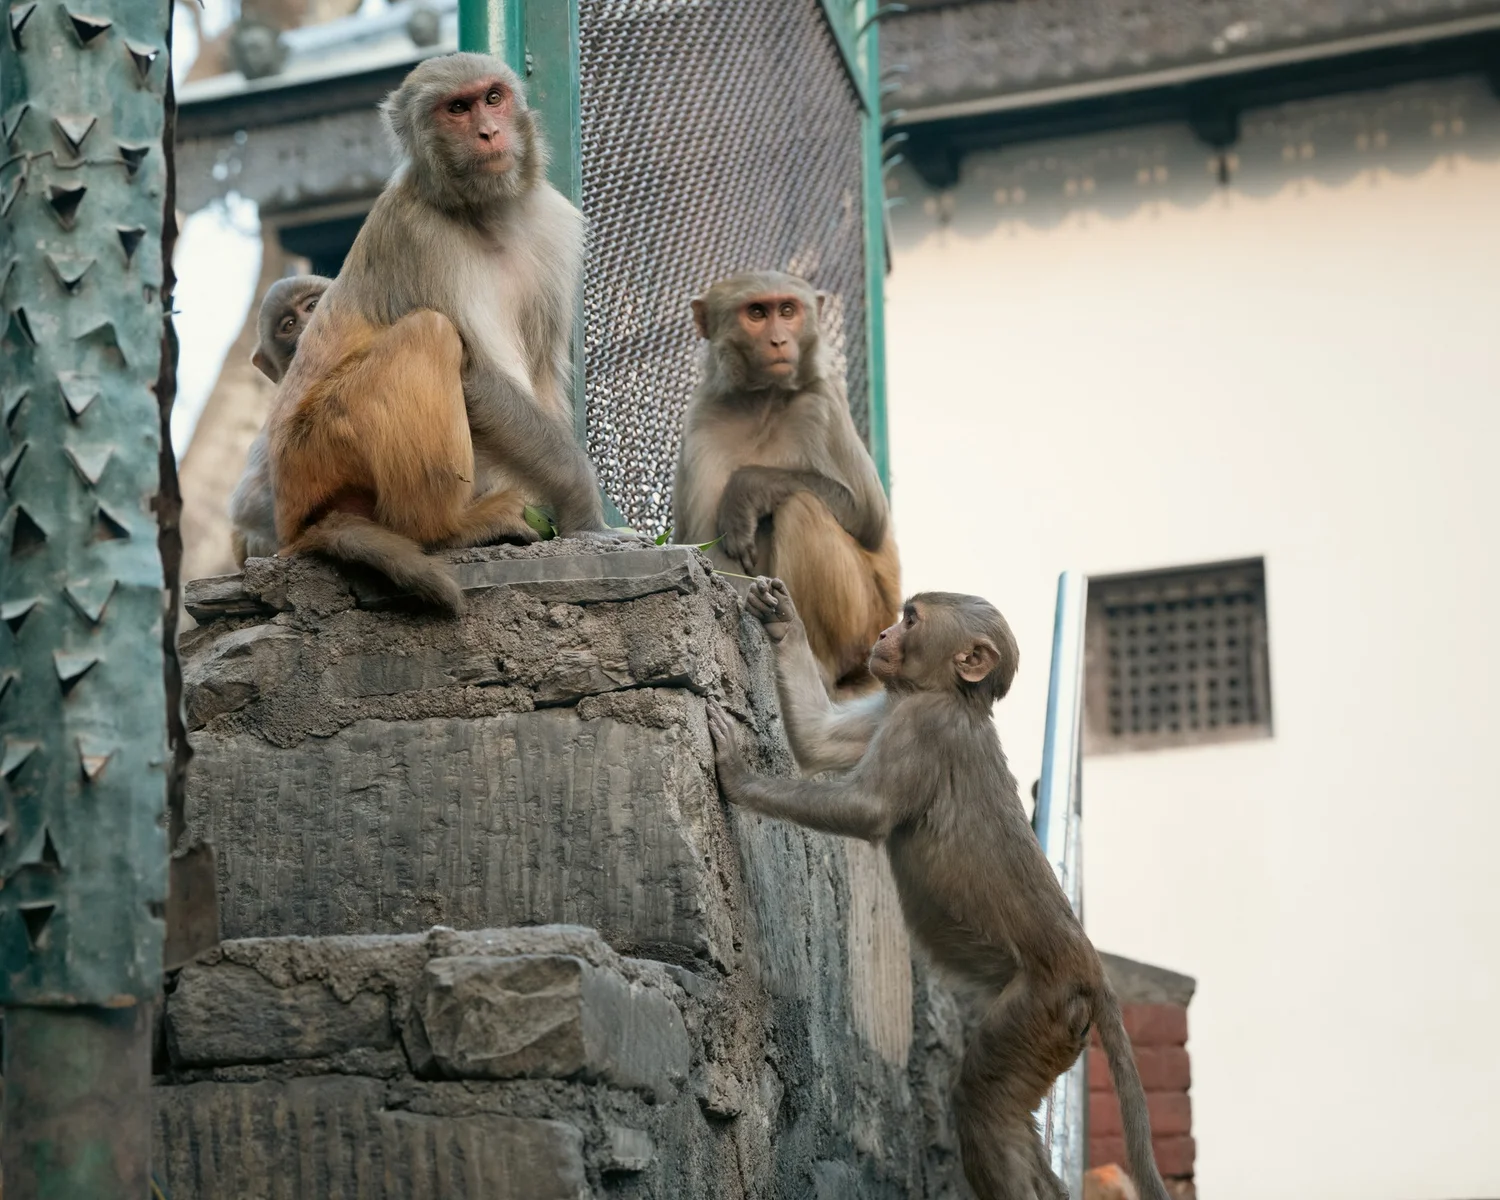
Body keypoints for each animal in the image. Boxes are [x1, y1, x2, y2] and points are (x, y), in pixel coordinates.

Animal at [266, 52, 609, 608]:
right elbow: (476, 375)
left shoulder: (551, 227)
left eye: (493, 98)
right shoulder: (420, 238)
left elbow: (540, 373)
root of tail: (293, 526)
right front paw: (583, 503)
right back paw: (445, 529)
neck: (484, 216)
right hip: (319, 450)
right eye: (457, 109)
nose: (489, 132)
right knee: (429, 333)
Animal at [673, 271, 900, 694]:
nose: (779, 340)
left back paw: (817, 661)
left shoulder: (822, 403)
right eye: (757, 313)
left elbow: (869, 516)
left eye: (788, 311)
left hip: (868, 624)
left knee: (801, 506)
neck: (764, 399)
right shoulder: (702, 421)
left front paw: (746, 490)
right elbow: (709, 547)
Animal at [704, 577, 1172, 1200]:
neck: (951, 696)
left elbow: (868, 810)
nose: (881, 634)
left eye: (911, 620)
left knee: (984, 1102)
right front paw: (781, 618)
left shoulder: (921, 725)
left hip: (1037, 1008)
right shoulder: (893, 706)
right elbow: (820, 743)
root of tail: (1089, 970)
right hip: (1054, 1022)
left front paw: (736, 774)